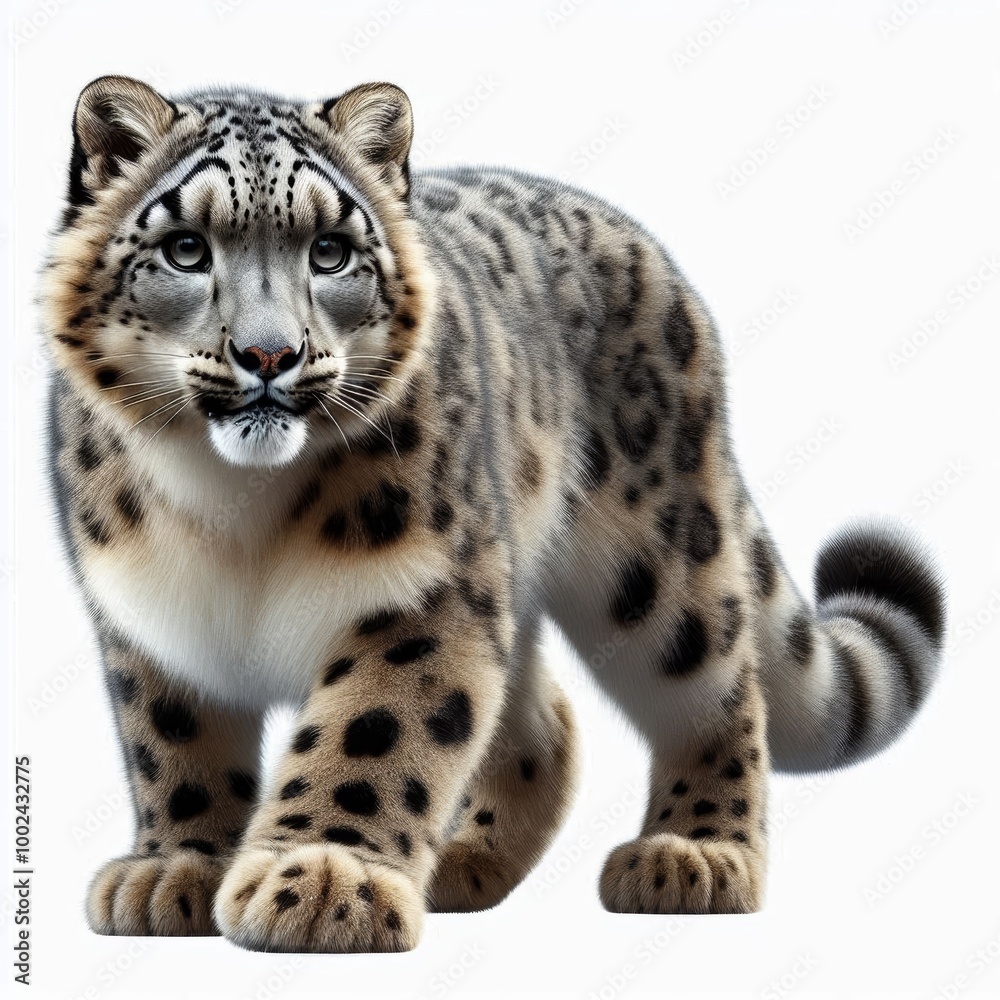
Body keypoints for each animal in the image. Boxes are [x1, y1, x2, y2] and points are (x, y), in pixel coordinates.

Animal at [41, 75, 947, 953]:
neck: (231, 509)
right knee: (544, 721)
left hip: (659, 562)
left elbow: (373, 730)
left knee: (716, 688)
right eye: (185, 248)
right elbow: (175, 744)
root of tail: (647, 249)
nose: (271, 355)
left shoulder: (423, 590)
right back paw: (463, 860)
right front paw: (177, 867)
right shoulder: (152, 613)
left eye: (330, 251)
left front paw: (325, 879)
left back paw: (694, 853)